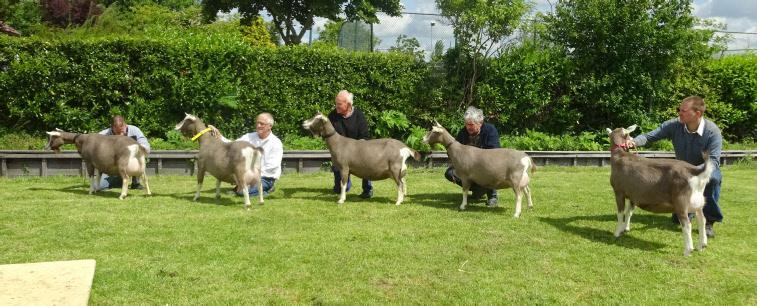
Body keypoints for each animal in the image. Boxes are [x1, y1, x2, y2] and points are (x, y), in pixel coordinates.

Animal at [604, 124, 712, 256]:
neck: (620, 156)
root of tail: (696, 171)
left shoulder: (619, 191)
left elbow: (620, 213)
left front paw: (617, 232)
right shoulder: (633, 194)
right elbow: (629, 212)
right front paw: (626, 228)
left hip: (681, 203)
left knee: (687, 224)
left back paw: (688, 250)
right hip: (698, 202)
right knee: (702, 220)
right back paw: (701, 245)